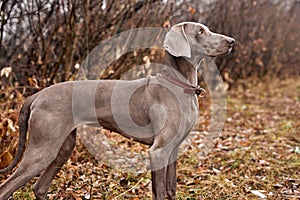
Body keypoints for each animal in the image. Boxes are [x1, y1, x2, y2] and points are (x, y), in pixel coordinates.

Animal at [0, 21, 234, 198]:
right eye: (200, 31)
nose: (231, 41)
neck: (179, 85)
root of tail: (37, 95)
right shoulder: (158, 151)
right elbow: (159, 192)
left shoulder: (173, 150)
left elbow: (171, 190)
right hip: (43, 148)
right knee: (7, 188)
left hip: (63, 147)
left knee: (39, 187)